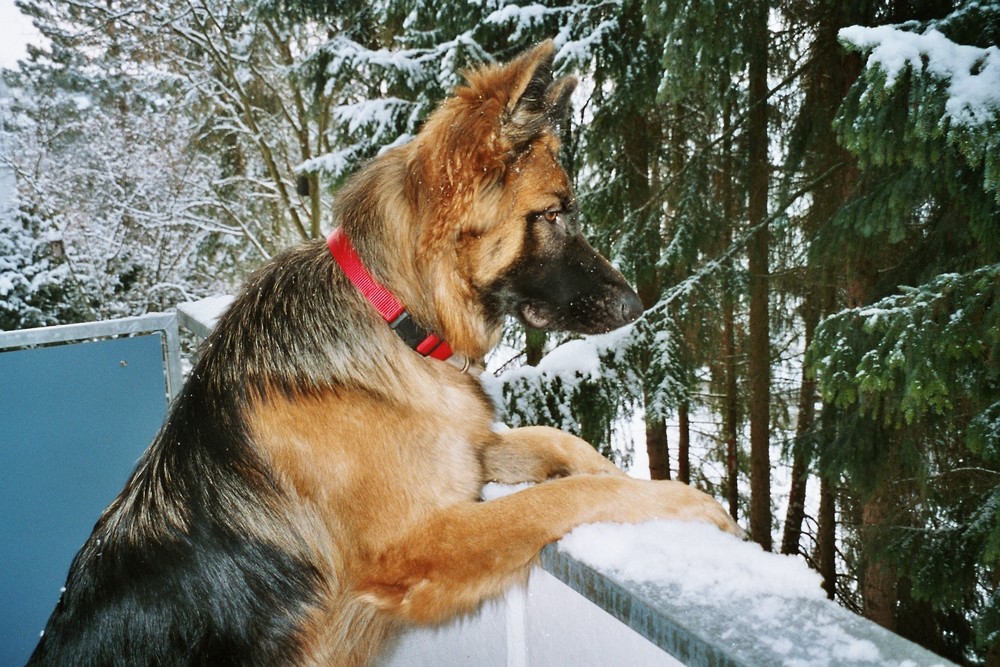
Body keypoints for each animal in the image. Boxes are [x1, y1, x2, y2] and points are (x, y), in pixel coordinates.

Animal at [29, 43, 744, 667]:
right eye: (551, 214)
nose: (636, 304)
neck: (393, 313)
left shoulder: (465, 452)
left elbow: (561, 445)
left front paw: (628, 478)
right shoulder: (419, 543)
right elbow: (551, 502)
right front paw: (686, 504)